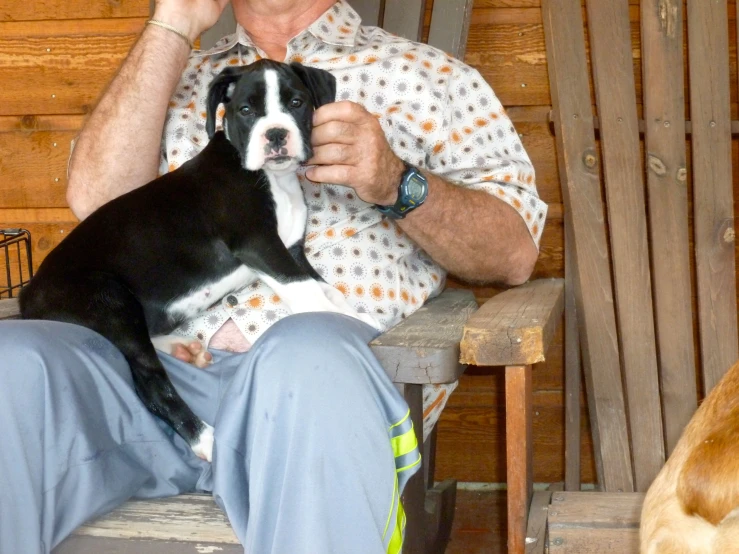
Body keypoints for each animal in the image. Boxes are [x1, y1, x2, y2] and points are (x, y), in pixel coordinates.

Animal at [20, 59, 372, 462]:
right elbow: (310, 294)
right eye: (246, 110)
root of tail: (27, 295)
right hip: (110, 300)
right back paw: (206, 439)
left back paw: (181, 348)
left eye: (297, 103)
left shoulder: (292, 251)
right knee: (151, 384)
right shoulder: (261, 245)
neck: (272, 179)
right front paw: (352, 320)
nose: (276, 135)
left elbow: (327, 291)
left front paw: (359, 316)